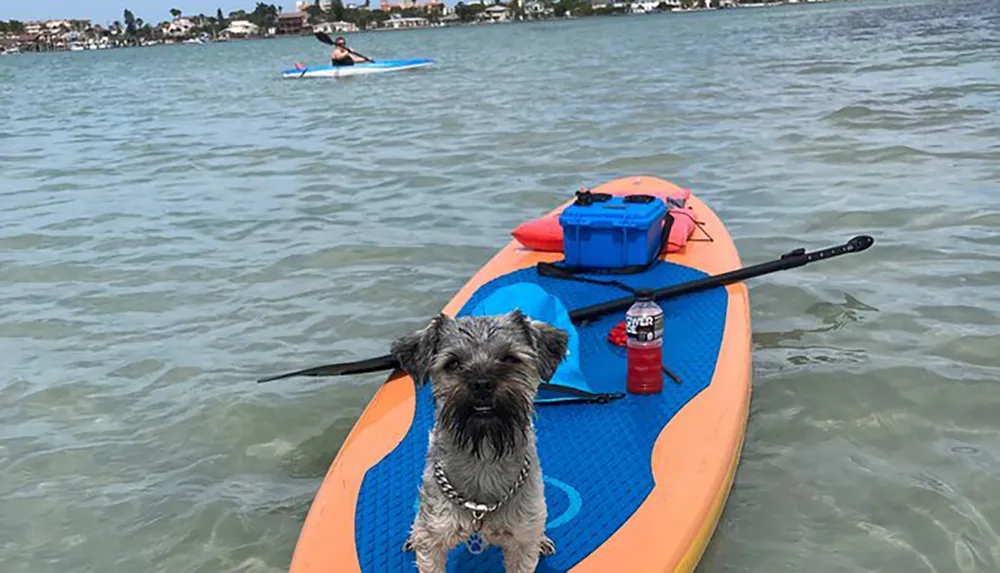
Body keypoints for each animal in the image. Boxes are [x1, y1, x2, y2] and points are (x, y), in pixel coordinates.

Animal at [392, 308, 572, 572]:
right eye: (453, 363)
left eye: (509, 359)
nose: (482, 383)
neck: (484, 454)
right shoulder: (433, 540)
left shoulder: (522, 542)